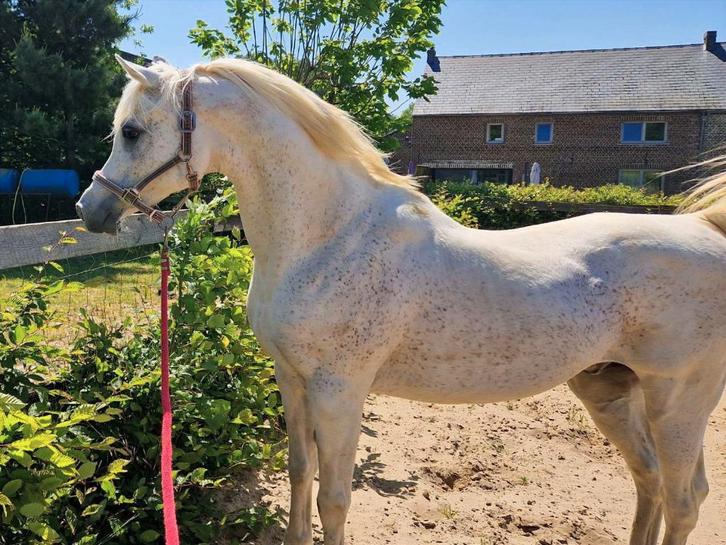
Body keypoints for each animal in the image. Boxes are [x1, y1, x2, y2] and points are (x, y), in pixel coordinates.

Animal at [76, 56, 726, 545]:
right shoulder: (293, 381)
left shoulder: (339, 391)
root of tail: (708, 231)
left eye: (132, 131)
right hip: (609, 389)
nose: (91, 210)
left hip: (678, 402)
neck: (328, 235)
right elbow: (299, 475)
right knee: (648, 480)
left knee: (684, 497)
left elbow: (334, 499)